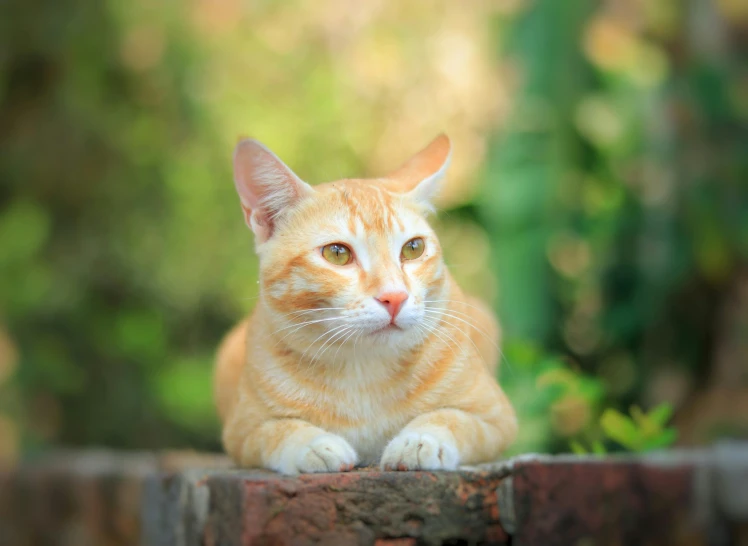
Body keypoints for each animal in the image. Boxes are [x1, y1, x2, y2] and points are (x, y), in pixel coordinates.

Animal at [213, 133, 516, 472]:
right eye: (337, 254)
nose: (395, 296)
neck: (363, 368)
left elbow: (451, 419)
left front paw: (420, 441)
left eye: (413, 248)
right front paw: (314, 445)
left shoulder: (497, 418)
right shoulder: (241, 432)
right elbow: (278, 430)